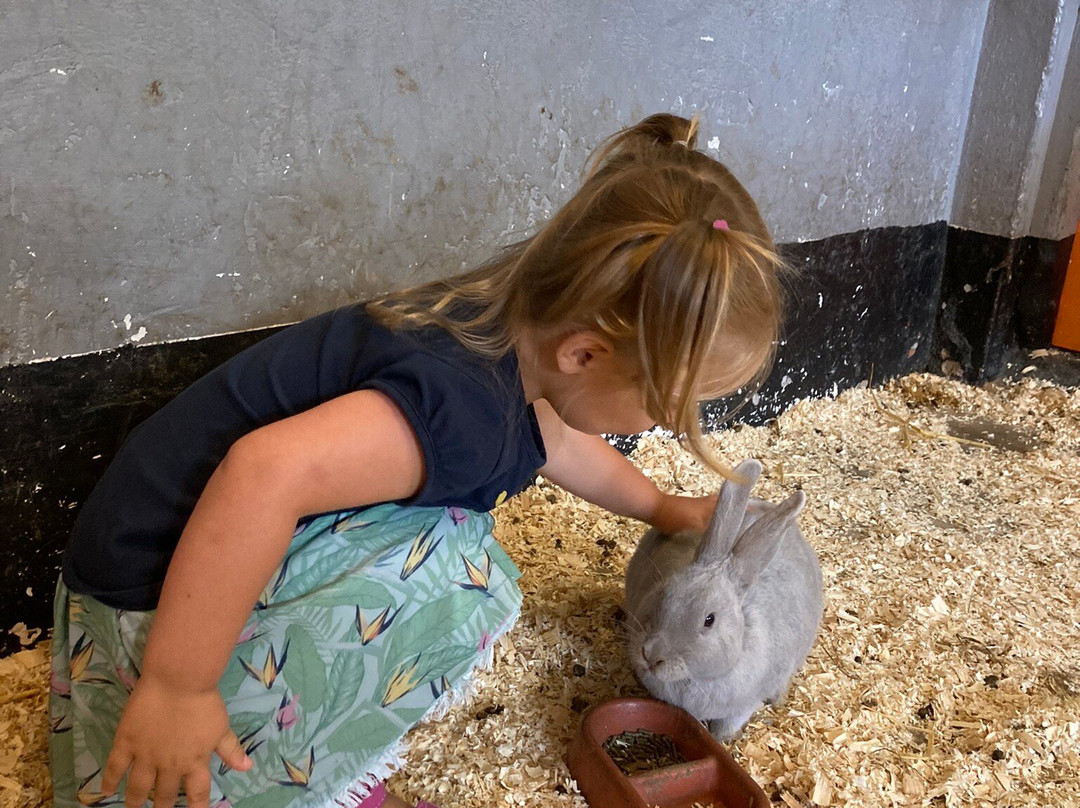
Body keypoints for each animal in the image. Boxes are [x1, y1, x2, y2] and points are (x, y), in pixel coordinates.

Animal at [622, 458, 820, 743]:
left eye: (709, 620)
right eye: (664, 592)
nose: (650, 655)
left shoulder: (742, 707)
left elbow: (726, 728)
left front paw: (720, 741)